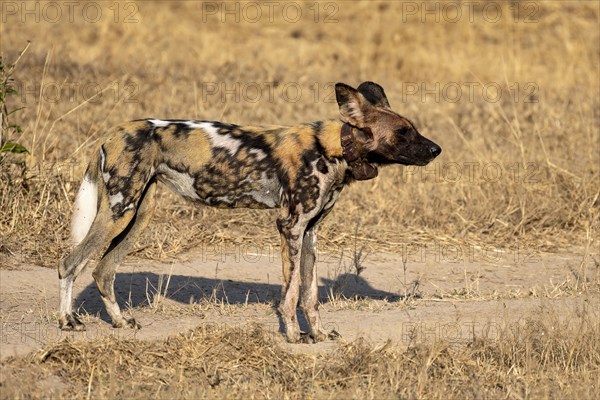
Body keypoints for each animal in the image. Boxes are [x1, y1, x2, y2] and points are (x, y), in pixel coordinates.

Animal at [58, 82, 440, 344]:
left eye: (413, 128)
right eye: (403, 133)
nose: (437, 149)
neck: (334, 148)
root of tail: (110, 133)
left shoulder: (310, 232)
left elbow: (310, 295)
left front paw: (317, 334)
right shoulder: (290, 226)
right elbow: (290, 294)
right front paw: (293, 337)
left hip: (137, 215)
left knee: (103, 270)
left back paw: (120, 322)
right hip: (119, 212)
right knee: (70, 262)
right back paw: (67, 322)